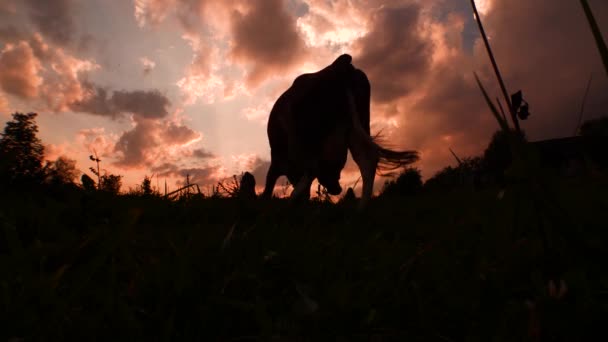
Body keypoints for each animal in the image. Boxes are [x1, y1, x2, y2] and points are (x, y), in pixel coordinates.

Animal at [258, 54, 420, 207]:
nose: (337, 189)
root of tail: (340, 64)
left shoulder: (278, 160)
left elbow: (269, 188)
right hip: (357, 125)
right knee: (366, 158)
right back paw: (361, 209)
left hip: (313, 136)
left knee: (315, 167)